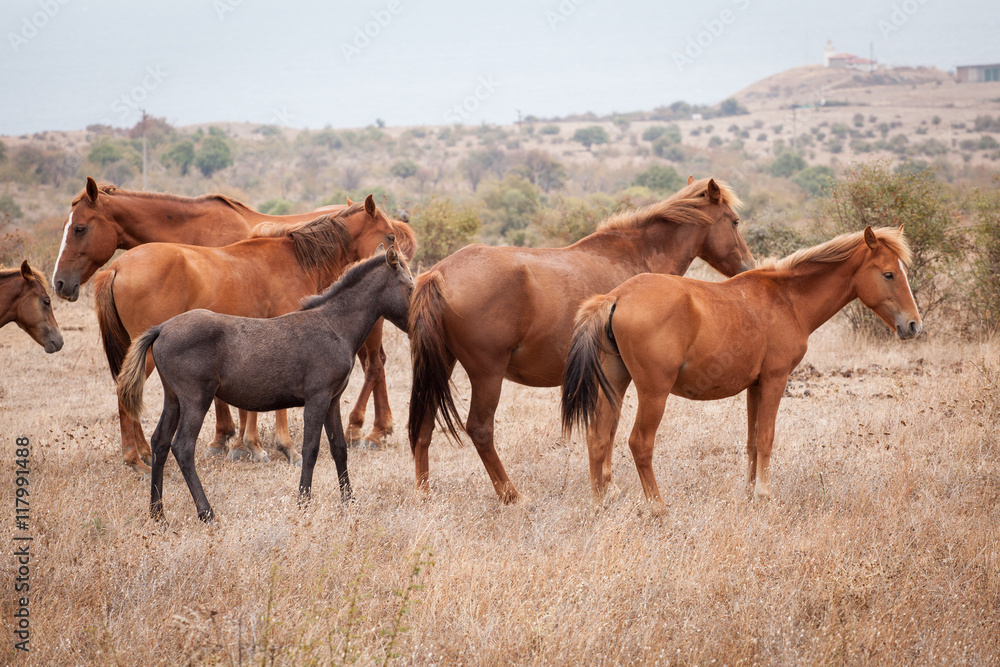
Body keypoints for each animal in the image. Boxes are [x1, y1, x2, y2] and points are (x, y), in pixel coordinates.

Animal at [53, 178, 415, 450]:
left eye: (79, 228)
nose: (60, 282)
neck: (292, 256)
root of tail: (116, 267)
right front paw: (255, 443)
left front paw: (243, 442)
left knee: (375, 365)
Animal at [116, 247, 414, 522]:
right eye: (410, 287)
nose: (417, 325)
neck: (334, 326)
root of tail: (162, 329)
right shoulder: (317, 398)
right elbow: (311, 449)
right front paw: (303, 503)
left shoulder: (333, 400)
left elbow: (339, 448)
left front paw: (349, 501)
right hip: (196, 399)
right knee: (183, 447)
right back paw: (206, 512)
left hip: (174, 399)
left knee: (160, 442)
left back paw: (157, 513)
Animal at [407, 177, 754, 504]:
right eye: (735, 221)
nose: (748, 267)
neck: (636, 258)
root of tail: (438, 274)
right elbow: (608, 425)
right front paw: (608, 487)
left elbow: (606, 426)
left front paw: (608, 485)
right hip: (487, 375)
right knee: (480, 430)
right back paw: (513, 496)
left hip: (441, 366)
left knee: (423, 424)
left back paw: (424, 493)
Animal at [561, 225, 921, 506]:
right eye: (888, 273)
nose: (914, 325)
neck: (787, 299)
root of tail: (616, 297)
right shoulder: (775, 380)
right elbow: (766, 438)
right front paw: (763, 494)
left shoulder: (755, 386)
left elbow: (751, 441)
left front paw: (749, 492)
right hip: (653, 393)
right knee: (639, 443)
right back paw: (657, 507)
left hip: (614, 385)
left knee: (598, 438)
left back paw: (599, 504)